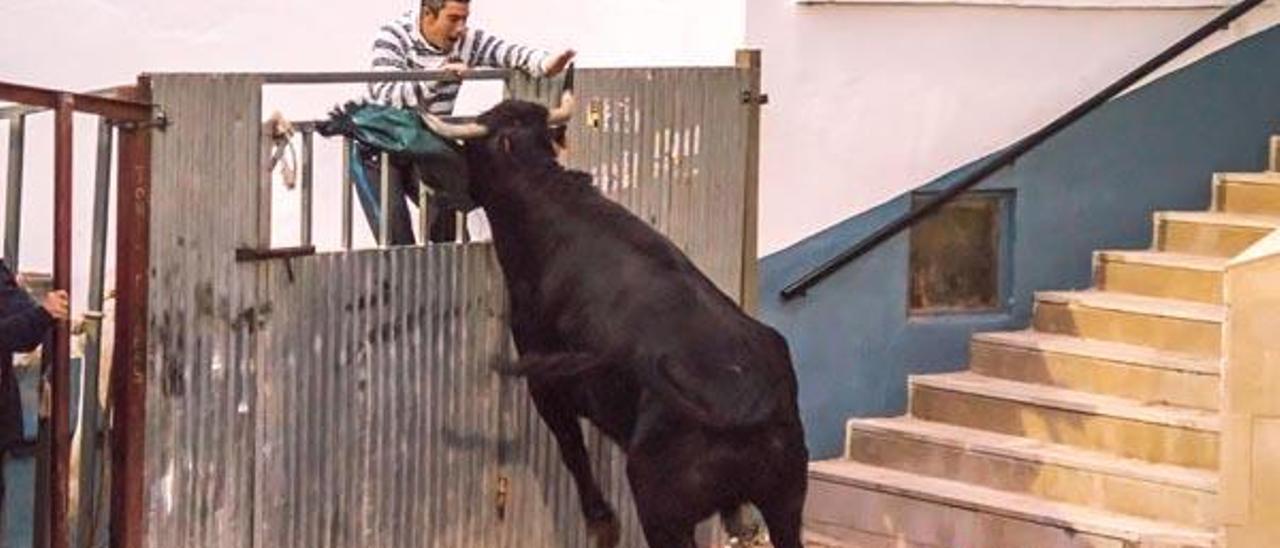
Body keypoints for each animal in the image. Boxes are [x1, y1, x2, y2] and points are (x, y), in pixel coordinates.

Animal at [430, 96, 808, 545]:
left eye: (470, 152)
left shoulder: (542, 379)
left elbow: (572, 448)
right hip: (785, 500)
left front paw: (601, 521)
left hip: (661, 507)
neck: (542, 191)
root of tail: (742, 397)